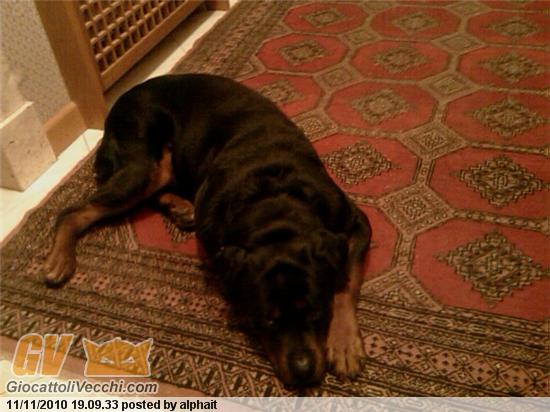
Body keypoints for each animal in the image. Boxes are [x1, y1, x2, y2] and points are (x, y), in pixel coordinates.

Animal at [44, 74, 372, 387]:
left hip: (156, 167)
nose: (303, 371)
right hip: (142, 162)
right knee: (74, 211)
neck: (273, 204)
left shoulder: (354, 224)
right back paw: (59, 260)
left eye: (316, 312)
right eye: (266, 321)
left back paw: (179, 206)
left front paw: (343, 344)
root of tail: (118, 104)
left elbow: (346, 282)